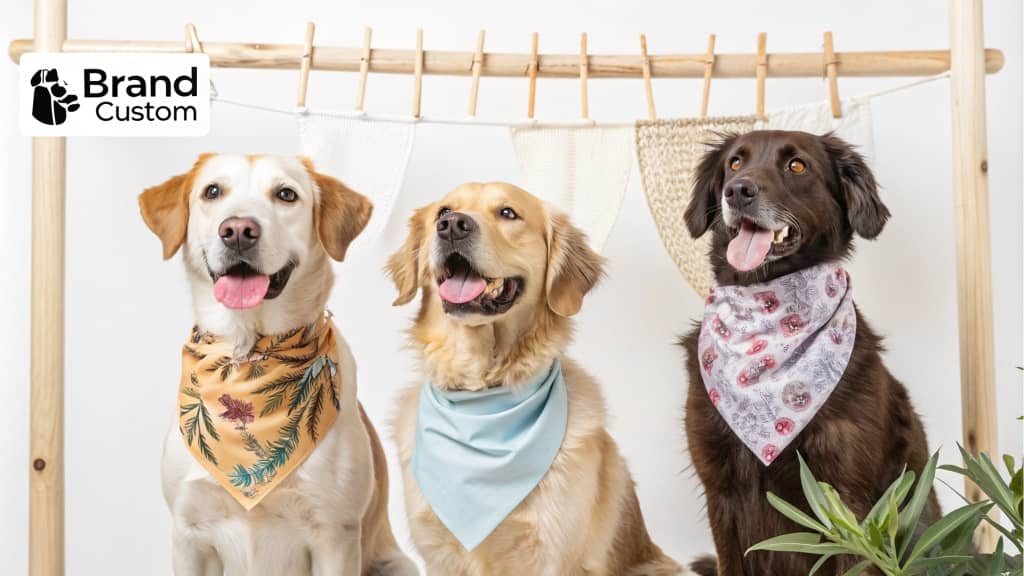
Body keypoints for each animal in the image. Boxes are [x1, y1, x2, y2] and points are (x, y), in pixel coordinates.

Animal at [140, 153, 415, 573]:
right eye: (212, 191)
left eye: (286, 194)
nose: (238, 230)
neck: (248, 356)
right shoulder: (189, 534)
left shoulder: (334, 535)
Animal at [387, 182, 684, 569]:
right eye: (444, 211)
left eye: (508, 213)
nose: (452, 226)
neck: (483, 394)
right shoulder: (438, 551)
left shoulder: (550, 552)